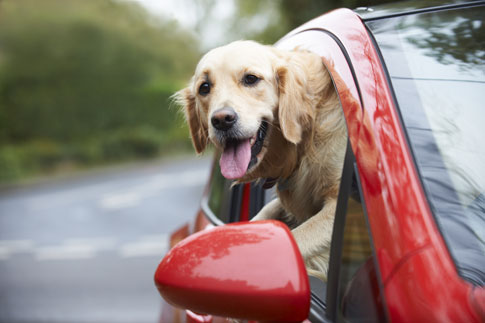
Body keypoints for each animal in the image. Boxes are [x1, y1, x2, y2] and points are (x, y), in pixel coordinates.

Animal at [176, 39, 346, 278]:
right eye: (204, 87)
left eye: (251, 79)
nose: (221, 120)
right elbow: (265, 214)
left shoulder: (339, 206)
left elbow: (295, 238)